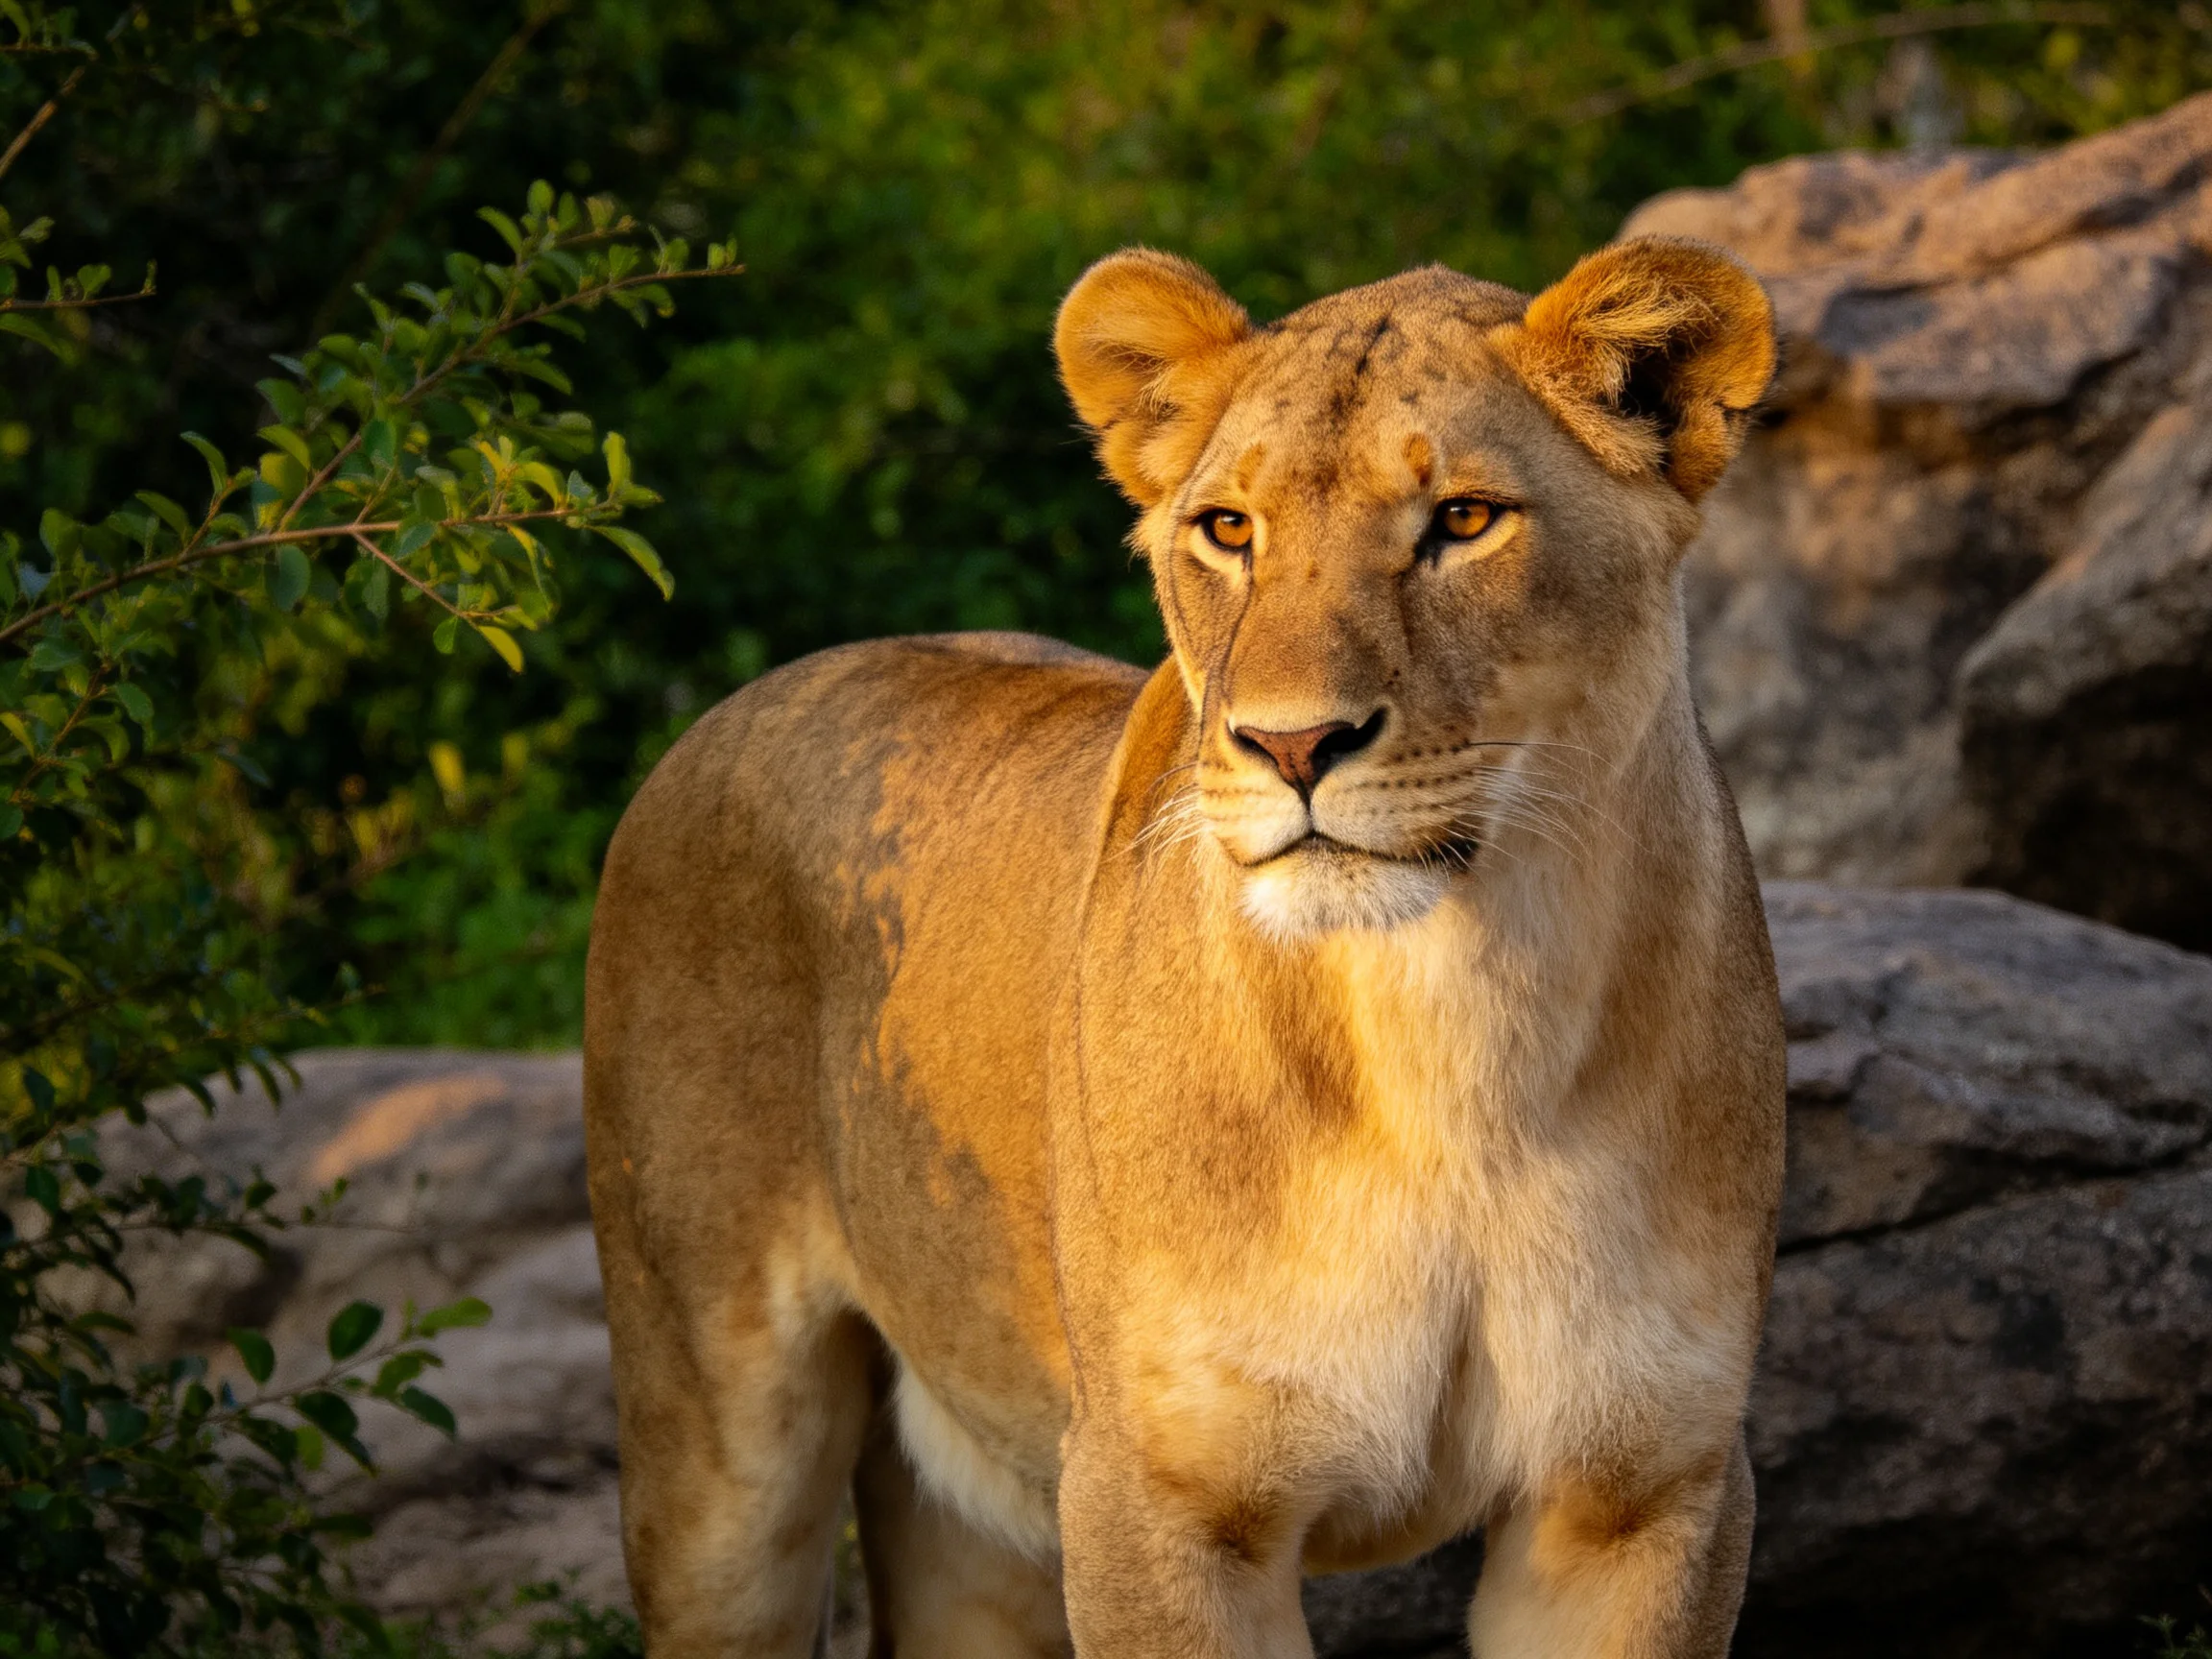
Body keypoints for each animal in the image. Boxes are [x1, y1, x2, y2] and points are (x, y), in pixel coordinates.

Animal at [582, 235, 1787, 1658]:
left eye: (1463, 521)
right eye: (1228, 530)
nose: (1292, 744)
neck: (1455, 1030)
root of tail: (729, 709)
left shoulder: (1644, 1493)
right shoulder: (1160, 1501)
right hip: (720, 1453)